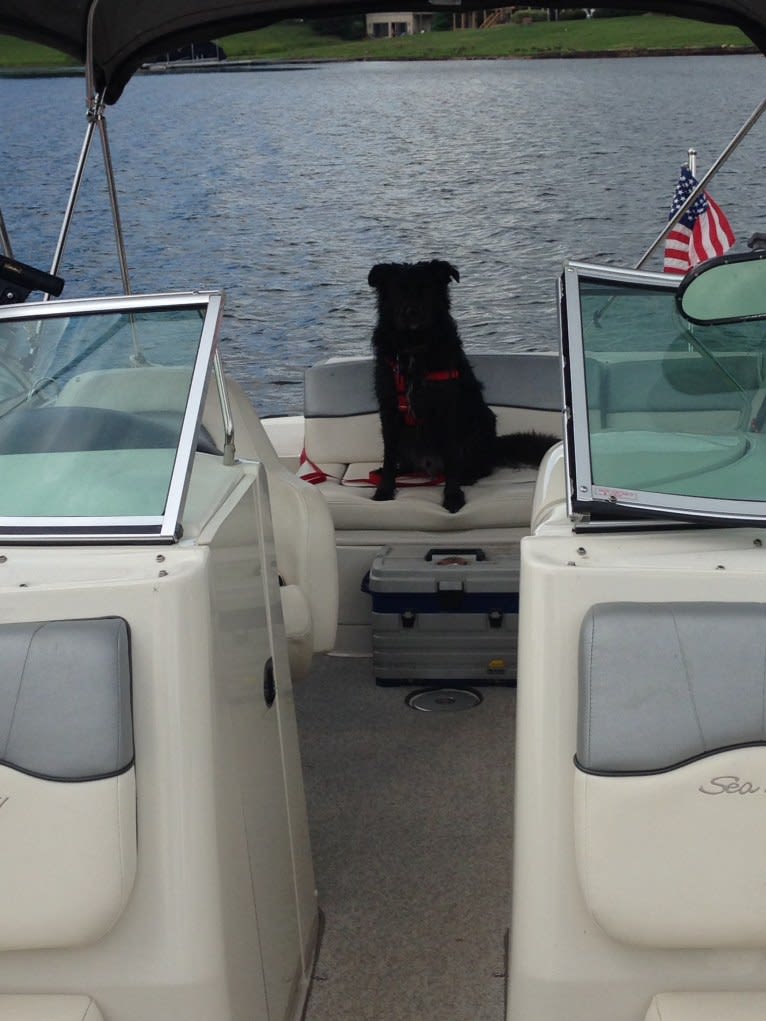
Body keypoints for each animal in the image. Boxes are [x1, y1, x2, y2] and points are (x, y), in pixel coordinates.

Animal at [367, 259, 559, 514]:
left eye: (426, 290)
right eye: (399, 291)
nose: (412, 312)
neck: (414, 349)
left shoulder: (448, 412)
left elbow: (451, 460)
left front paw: (452, 496)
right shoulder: (389, 410)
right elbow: (389, 456)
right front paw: (385, 490)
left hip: (481, 424)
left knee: (478, 466)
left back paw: (467, 475)